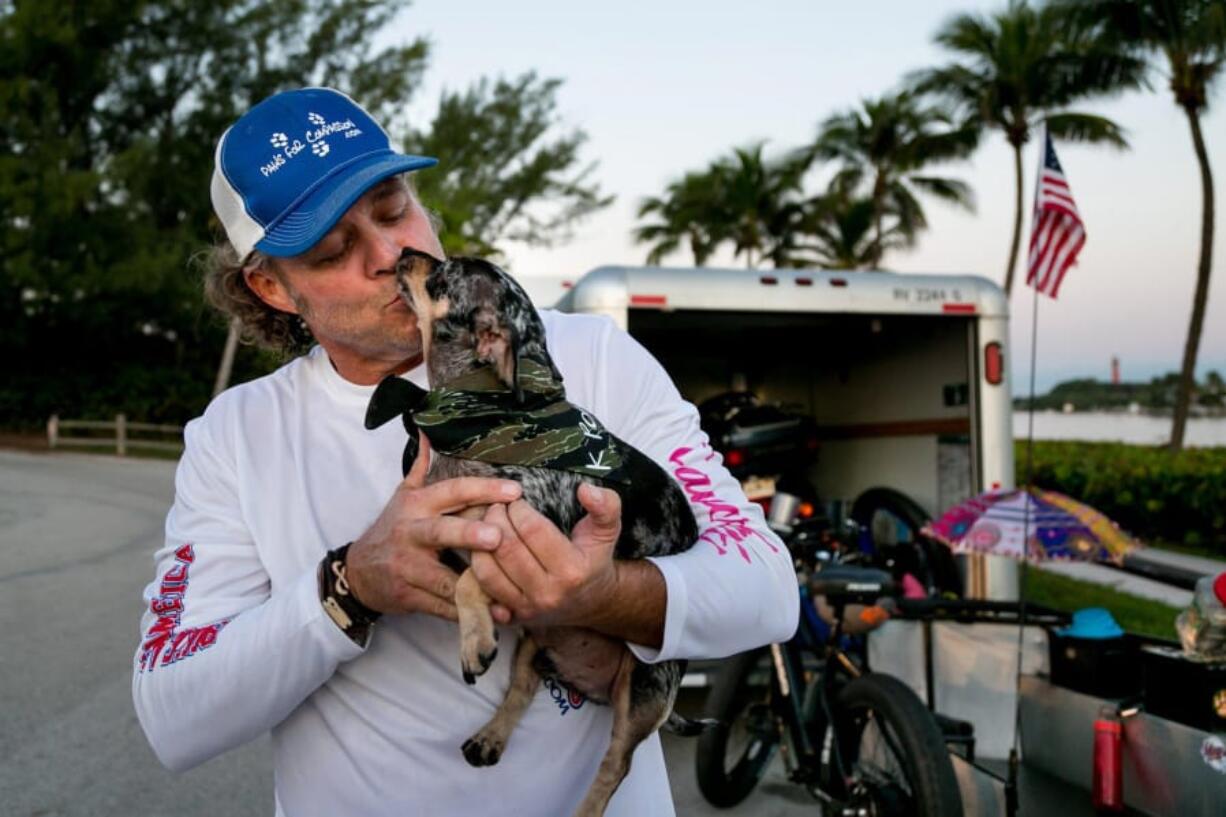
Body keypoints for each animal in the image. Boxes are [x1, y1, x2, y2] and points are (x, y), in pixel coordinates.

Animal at [365, 247, 701, 814]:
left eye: (441, 275)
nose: (405, 253)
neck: (477, 415)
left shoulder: (530, 530)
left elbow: (475, 572)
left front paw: (475, 636)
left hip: (644, 689)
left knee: (615, 766)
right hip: (534, 646)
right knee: (520, 690)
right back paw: (490, 737)